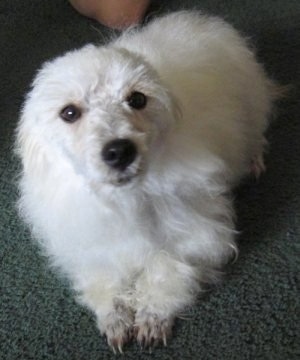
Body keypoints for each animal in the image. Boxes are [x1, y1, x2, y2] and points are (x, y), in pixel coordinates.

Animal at [15, 10, 276, 352]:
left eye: (137, 99)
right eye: (69, 112)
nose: (119, 151)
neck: (125, 199)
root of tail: (207, 22)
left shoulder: (199, 236)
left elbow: (167, 270)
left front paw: (153, 316)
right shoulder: (86, 242)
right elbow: (103, 278)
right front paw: (115, 316)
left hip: (252, 104)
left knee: (257, 132)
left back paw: (255, 159)